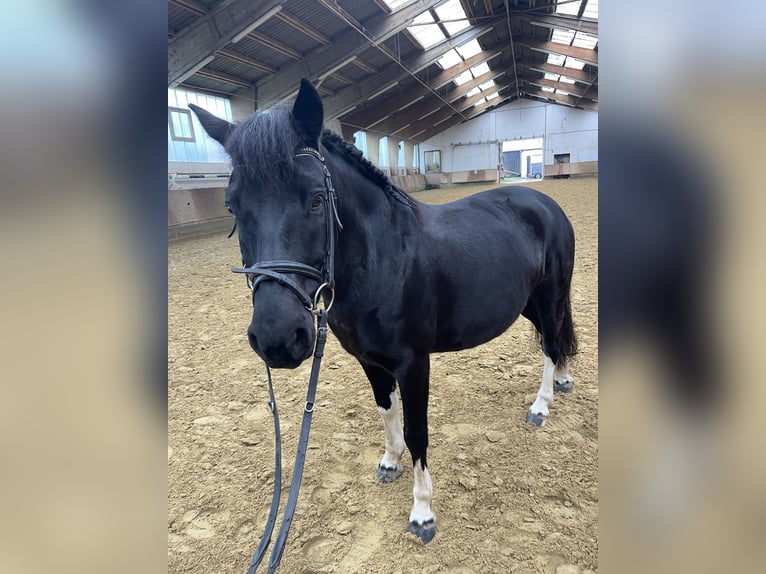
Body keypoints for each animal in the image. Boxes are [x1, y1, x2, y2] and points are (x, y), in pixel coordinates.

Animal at [189, 80, 580, 544]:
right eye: (231, 206)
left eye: (317, 199)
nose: (277, 338)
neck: (385, 256)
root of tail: (543, 203)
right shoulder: (370, 360)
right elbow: (386, 411)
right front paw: (389, 462)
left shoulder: (414, 363)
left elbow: (416, 431)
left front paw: (422, 513)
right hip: (527, 305)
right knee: (554, 340)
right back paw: (562, 382)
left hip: (549, 296)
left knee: (551, 343)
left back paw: (541, 406)